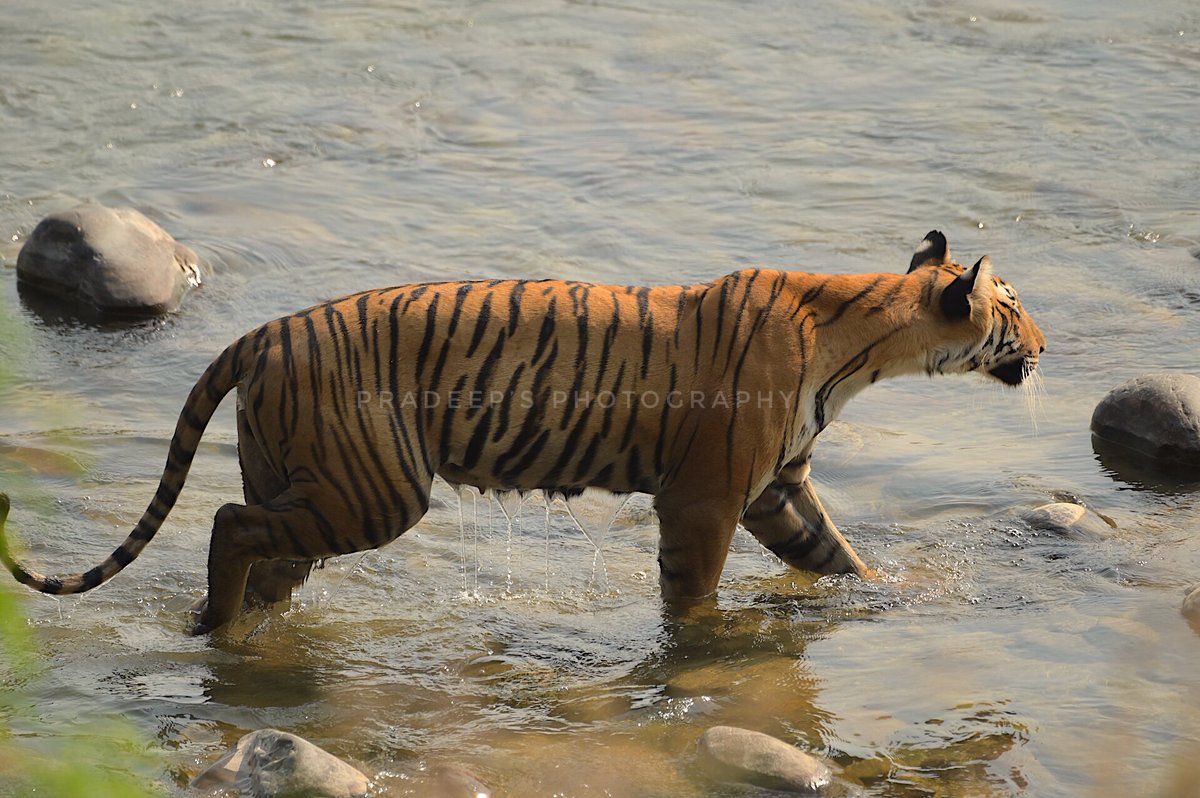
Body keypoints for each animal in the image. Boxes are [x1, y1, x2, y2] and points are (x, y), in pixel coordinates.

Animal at [0, 231, 1041, 633]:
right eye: (1016, 306)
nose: (1045, 344)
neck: (864, 345)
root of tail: (262, 331)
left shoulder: (779, 489)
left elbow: (840, 557)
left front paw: (894, 595)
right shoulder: (707, 500)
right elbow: (694, 596)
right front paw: (698, 652)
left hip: (305, 486)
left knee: (253, 552)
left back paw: (224, 633)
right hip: (375, 493)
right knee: (226, 526)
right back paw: (219, 633)